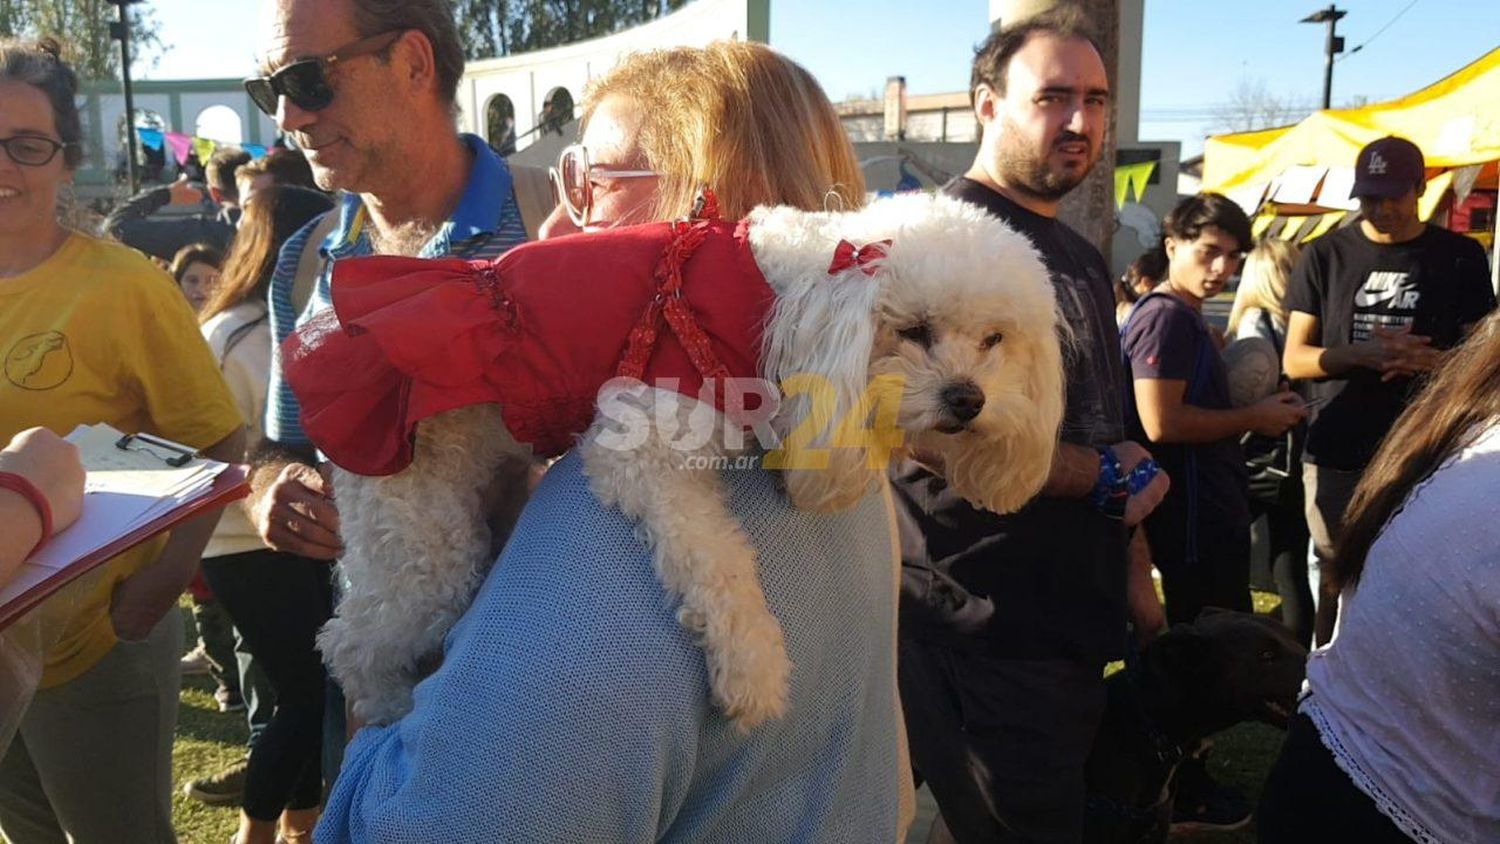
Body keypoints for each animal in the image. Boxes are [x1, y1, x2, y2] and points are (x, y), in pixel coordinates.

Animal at [313, 189, 1068, 725]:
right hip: (424, 538)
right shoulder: (642, 440)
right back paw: (386, 711)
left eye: (995, 340)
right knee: (348, 642)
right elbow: (717, 560)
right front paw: (754, 671)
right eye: (913, 331)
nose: (969, 399)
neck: (781, 298)